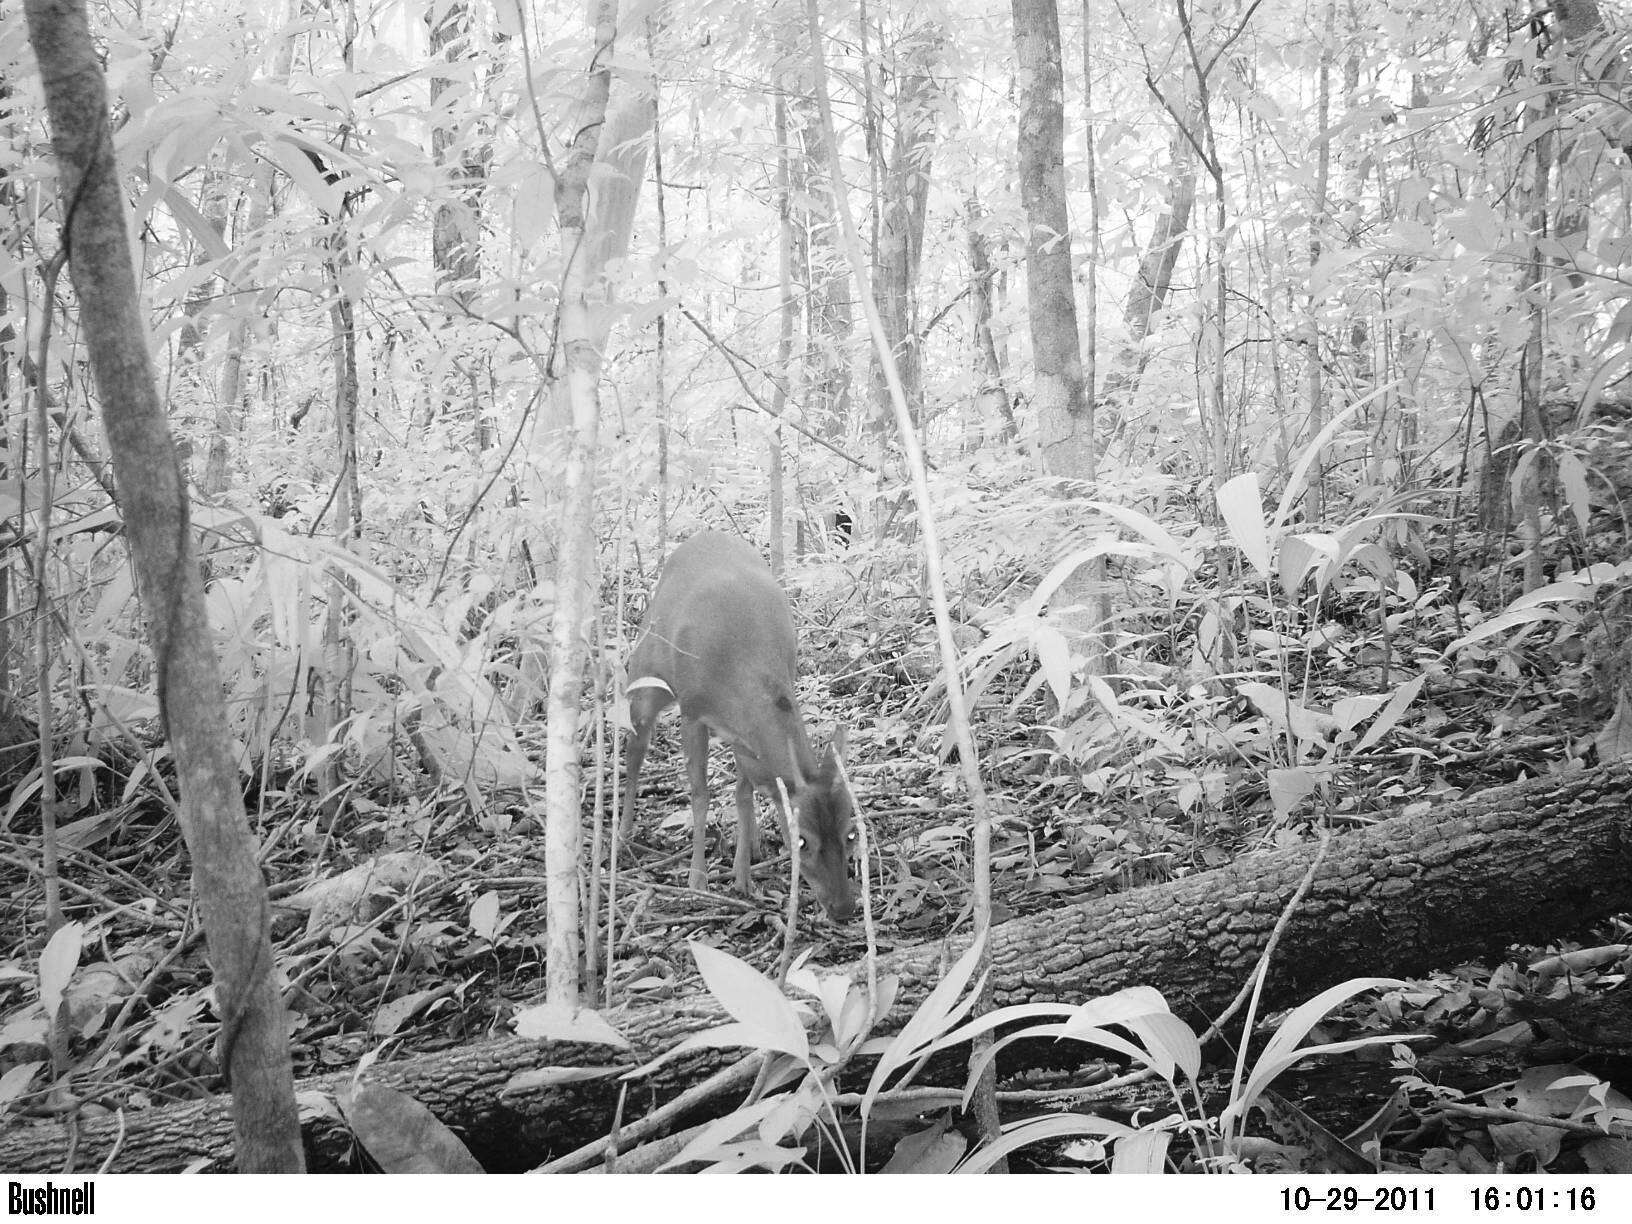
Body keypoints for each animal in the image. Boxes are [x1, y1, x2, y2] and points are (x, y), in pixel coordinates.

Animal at [616, 532, 861, 926]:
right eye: (802, 840)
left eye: (850, 834)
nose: (843, 908)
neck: (740, 661)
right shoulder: (693, 712)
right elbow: (700, 795)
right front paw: (697, 879)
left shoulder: (746, 732)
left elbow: (744, 794)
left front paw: (742, 877)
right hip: (645, 674)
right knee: (635, 750)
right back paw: (622, 835)